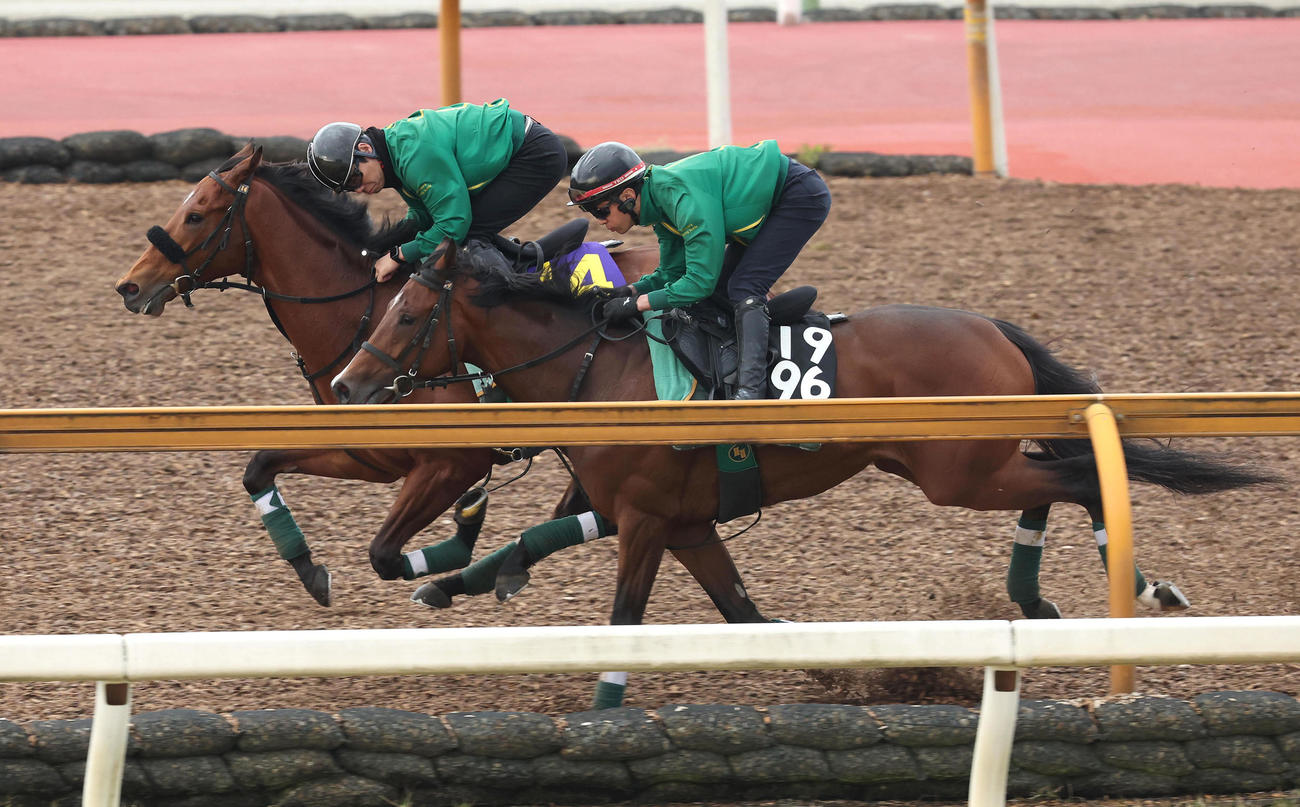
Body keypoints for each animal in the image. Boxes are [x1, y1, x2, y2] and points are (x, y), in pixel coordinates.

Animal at [113, 142, 660, 609]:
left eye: (196, 214)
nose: (129, 286)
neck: (362, 315)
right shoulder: (367, 454)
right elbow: (259, 468)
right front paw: (311, 571)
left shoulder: (453, 463)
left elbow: (384, 553)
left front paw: (465, 533)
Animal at [328, 241, 1276, 659]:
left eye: (408, 316)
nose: (344, 383)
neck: (604, 363)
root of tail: (990, 326)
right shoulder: (681, 520)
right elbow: (740, 611)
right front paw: (452, 582)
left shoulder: (645, 516)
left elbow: (625, 614)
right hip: (962, 464)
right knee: (1061, 475)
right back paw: (1040, 597)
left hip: (959, 470)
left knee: (1080, 472)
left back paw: (1130, 588)